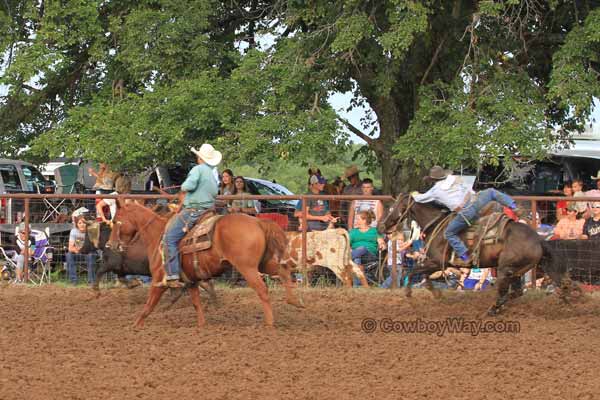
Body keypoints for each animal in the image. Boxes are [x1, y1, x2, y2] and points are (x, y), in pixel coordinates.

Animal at [108, 203, 302, 328]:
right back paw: (294, 301)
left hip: (247, 268)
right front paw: (202, 325)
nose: (110, 245)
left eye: (116, 221)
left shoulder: (159, 280)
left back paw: (269, 323)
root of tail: (258, 222)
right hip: (263, 263)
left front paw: (135, 326)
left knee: (262, 289)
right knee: (283, 271)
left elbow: (148, 305)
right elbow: (196, 303)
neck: (157, 235)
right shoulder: (191, 281)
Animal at [378, 195, 576, 316]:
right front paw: (435, 293)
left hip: (505, 269)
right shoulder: (434, 263)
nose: (381, 226)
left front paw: (409, 293)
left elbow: (412, 272)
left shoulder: (436, 261)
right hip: (515, 271)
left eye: (393, 208)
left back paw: (492, 310)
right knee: (517, 292)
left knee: (506, 292)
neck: (436, 225)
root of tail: (538, 239)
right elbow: (424, 276)